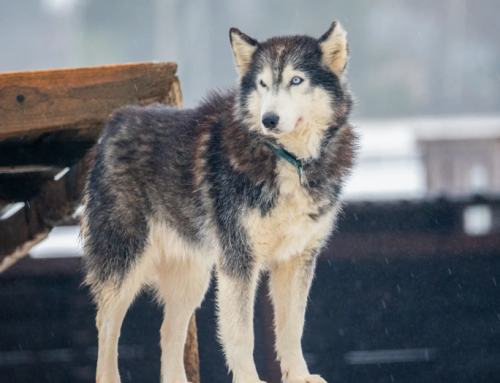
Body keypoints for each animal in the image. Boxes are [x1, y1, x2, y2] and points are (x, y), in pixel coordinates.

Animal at [82, 20, 356, 383]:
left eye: (296, 80)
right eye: (263, 83)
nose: (269, 119)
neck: (288, 160)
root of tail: (115, 121)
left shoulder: (297, 259)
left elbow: (292, 329)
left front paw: (300, 376)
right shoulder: (238, 261)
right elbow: (241, 335)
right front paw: (250, 380)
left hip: (193, 279)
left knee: (168, 333)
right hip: (125, 264)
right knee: (106, 326)